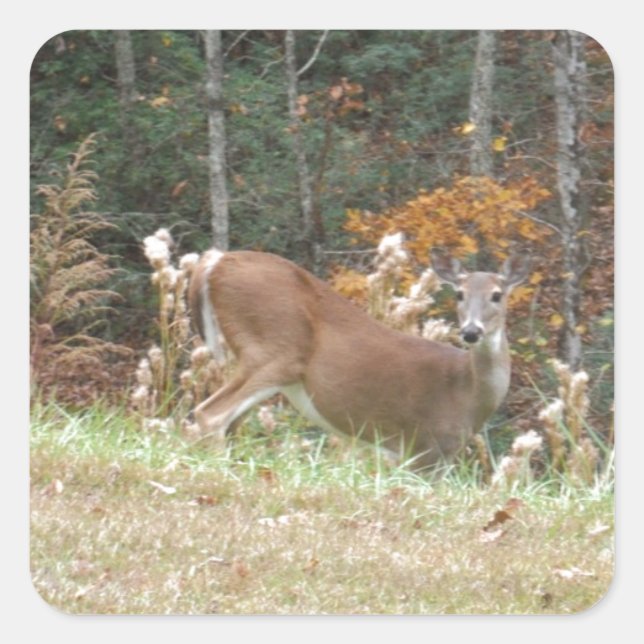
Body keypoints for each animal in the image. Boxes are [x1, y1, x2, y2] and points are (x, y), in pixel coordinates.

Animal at [187, 246, 530, 471]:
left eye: (497, 295)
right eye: (459, 293)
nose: (471, 331)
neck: (465, 390)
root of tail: (216, 260)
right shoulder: (425, 447)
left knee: (230, 420)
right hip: (275, 349)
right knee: (211, 414)